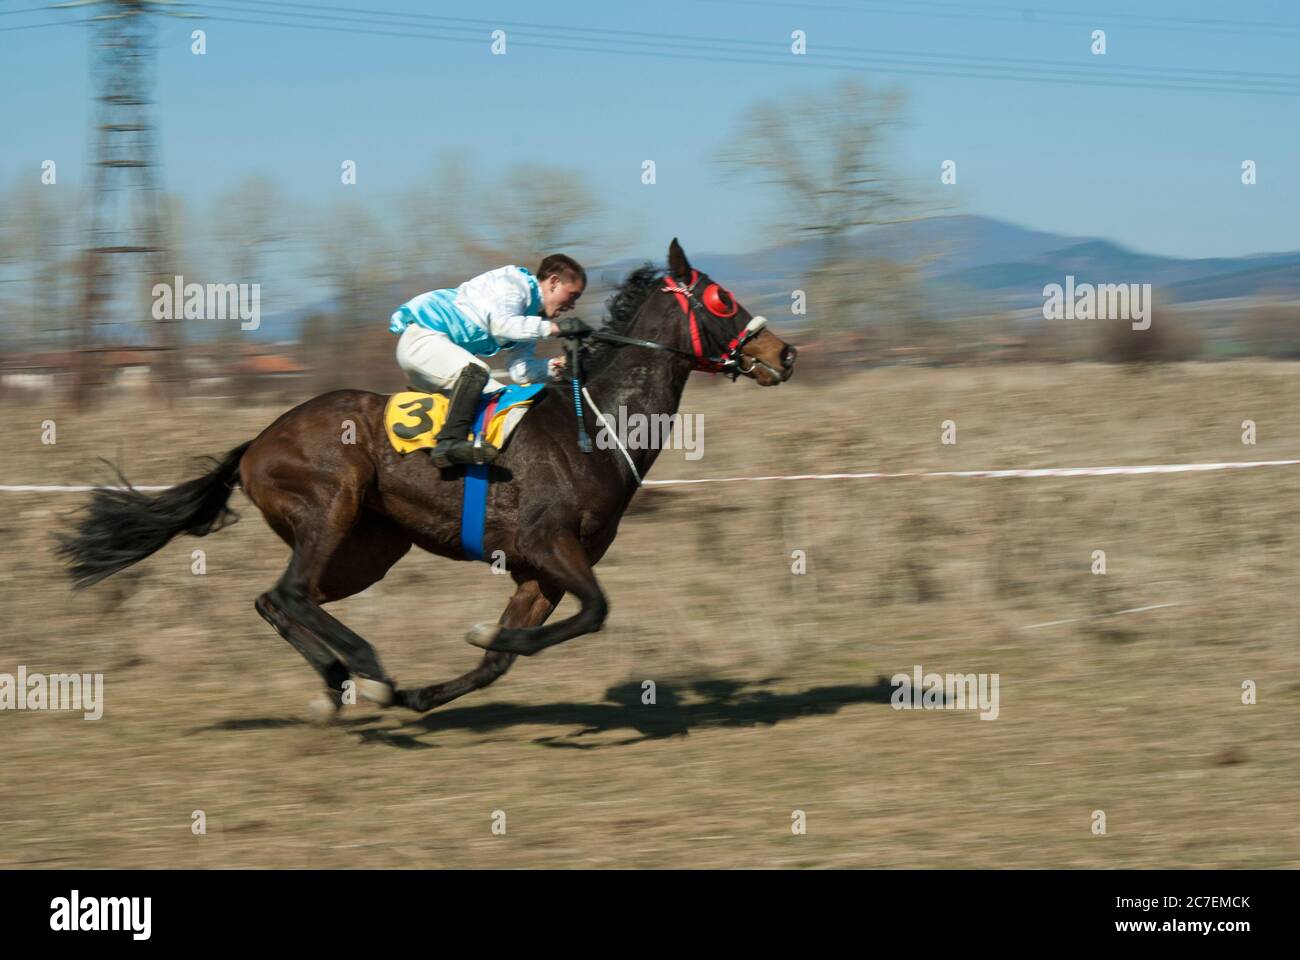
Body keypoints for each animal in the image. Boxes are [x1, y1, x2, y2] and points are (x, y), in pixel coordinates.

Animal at [55, 239, 795, 718]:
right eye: (722, 298)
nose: (784, 353)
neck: (597, 426)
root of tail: (253, 445)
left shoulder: (541, 571)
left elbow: (505, 660)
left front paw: (434, 684)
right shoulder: (551, 544)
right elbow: (595, 613)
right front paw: (473, 639)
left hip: (369, 548)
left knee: (279, 598)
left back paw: (341, 682)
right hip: (334, 504)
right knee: (290, 593)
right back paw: (365, 668)